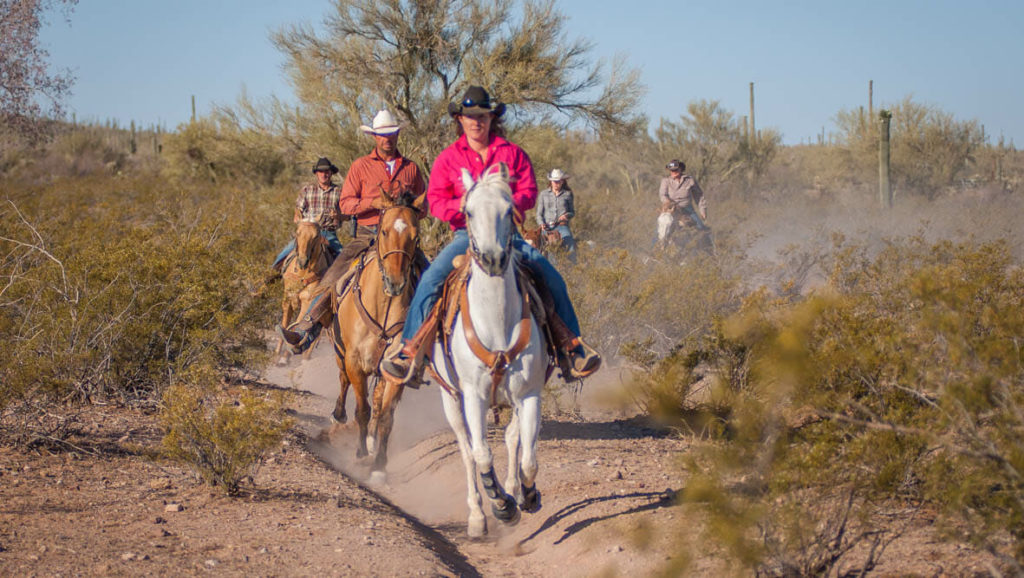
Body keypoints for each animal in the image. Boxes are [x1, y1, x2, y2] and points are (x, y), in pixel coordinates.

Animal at [274, 221, 329, 364]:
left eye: (316, 236)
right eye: (298, 233)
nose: (303, 261)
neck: (302, 274)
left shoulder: (307, 302)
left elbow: (298, 324)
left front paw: (286, 355)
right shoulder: (287, 299)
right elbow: (285, 323)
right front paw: (278, 354)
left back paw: (306, 357)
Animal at [327, 188, 423, 483]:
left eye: (416, 235)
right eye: (384, 231)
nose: (395, 282)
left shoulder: (395, 369)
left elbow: (385, 417)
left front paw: (379, 465)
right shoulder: (355, 362)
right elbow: (362, 409)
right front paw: (359, 453)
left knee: (379, 404)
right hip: (340, 353)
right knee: (343, 381)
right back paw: (338, 416)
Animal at [428, 161, 548, 537]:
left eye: (509, 210)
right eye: (467, 211)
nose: (494, 257)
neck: (496, 320)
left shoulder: (528, 394)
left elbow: (528, 458)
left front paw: (525, 495)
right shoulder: (473, 396)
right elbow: (481, 454)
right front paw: (501, 505)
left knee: (512, 440)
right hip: (450, 399)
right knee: (467, 452)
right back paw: (478, 516)